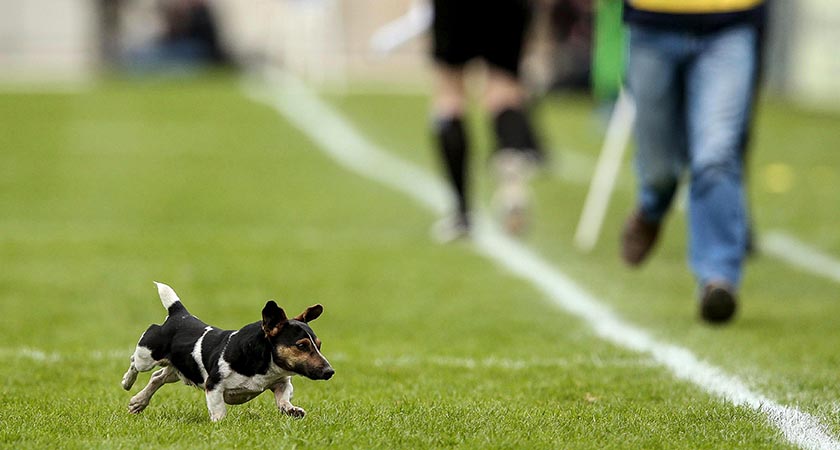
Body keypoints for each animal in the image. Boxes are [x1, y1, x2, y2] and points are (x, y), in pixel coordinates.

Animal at [121, 284, 332, 420]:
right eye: (302, 345)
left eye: (319, 345)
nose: (330, 371)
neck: (263, 363)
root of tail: (180, 314)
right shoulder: (213, 385)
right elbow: (219, 410)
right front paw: (219, 425)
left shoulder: (281, 383)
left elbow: (283, 399)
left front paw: (292, 410)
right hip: (147, 355)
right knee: (134, 362)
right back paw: (127, 381)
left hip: (180, 369)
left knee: (158, 377)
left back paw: (138, 402)